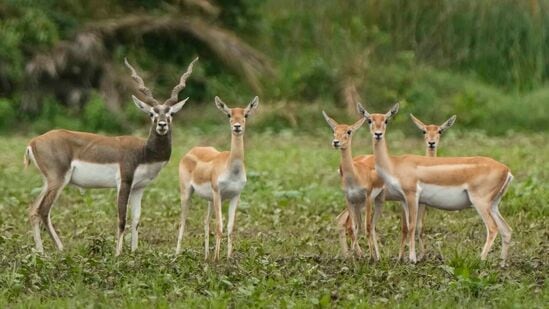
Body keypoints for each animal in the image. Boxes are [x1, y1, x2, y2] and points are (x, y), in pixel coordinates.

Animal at [24, 56, 199, 254]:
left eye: (170, 113)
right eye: (151, 113)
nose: (162, 125)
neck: (144, 152)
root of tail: (34, 141)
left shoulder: (139, 188)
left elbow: (136, 220)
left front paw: (134, 252)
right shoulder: (124, 182)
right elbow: (122, 219)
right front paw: (118, 254)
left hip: (47, 182)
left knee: (32, 210)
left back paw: (40, 252)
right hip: (58, 180)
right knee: (43, 210)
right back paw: (60, 249)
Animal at [178, 95, 260, 258]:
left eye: (246, 114)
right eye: (229, 114)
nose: (237, 127)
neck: (232, 169)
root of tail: (190, 151)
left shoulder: (235, 195)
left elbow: (230, 228)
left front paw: (228, 258)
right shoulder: (218, 193)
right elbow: (219, 227)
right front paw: (216, 259)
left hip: (209, 200)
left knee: (205, 222)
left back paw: (205, 257)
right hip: (187, 193)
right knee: (182, 222)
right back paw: (176, 256)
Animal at [332, 112, 456, 258]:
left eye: (440, 131)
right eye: (424, 131)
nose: (431, 143)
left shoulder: (421, 203)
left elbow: (419, 227)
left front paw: (421, 255)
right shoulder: (405, 200)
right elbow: (406, 227)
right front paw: (403, 256)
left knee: (341, 220)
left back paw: (349, 255)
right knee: (349, 224)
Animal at [358, 101, 512, 264]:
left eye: (386, 120)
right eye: (369, 120)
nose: (378, 134)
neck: (394, 164)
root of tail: (506, 170)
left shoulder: (412, 195)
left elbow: (412, 226)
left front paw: (412, 259)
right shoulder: (404, 200)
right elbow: (408, 227)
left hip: (480, 203)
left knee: (493, 228)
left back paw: (480, 260)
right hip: (493, 205)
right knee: (506, 230)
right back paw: (502, 263)